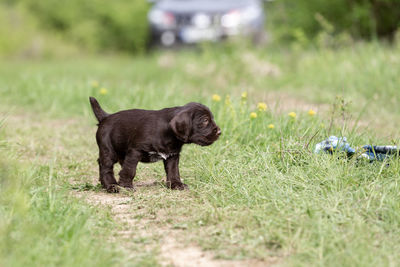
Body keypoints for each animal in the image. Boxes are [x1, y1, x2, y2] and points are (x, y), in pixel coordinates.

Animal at [88, 97, 222, 194]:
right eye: (205, 120)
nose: (220, 132)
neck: (167, 133)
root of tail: (105, 117)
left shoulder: (172, 156)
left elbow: (173, 171)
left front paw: (176, 184)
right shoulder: (135, 151)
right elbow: (130, 170)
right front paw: (126, 186)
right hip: (108, 150)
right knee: (106, 167)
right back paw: (111, 186)